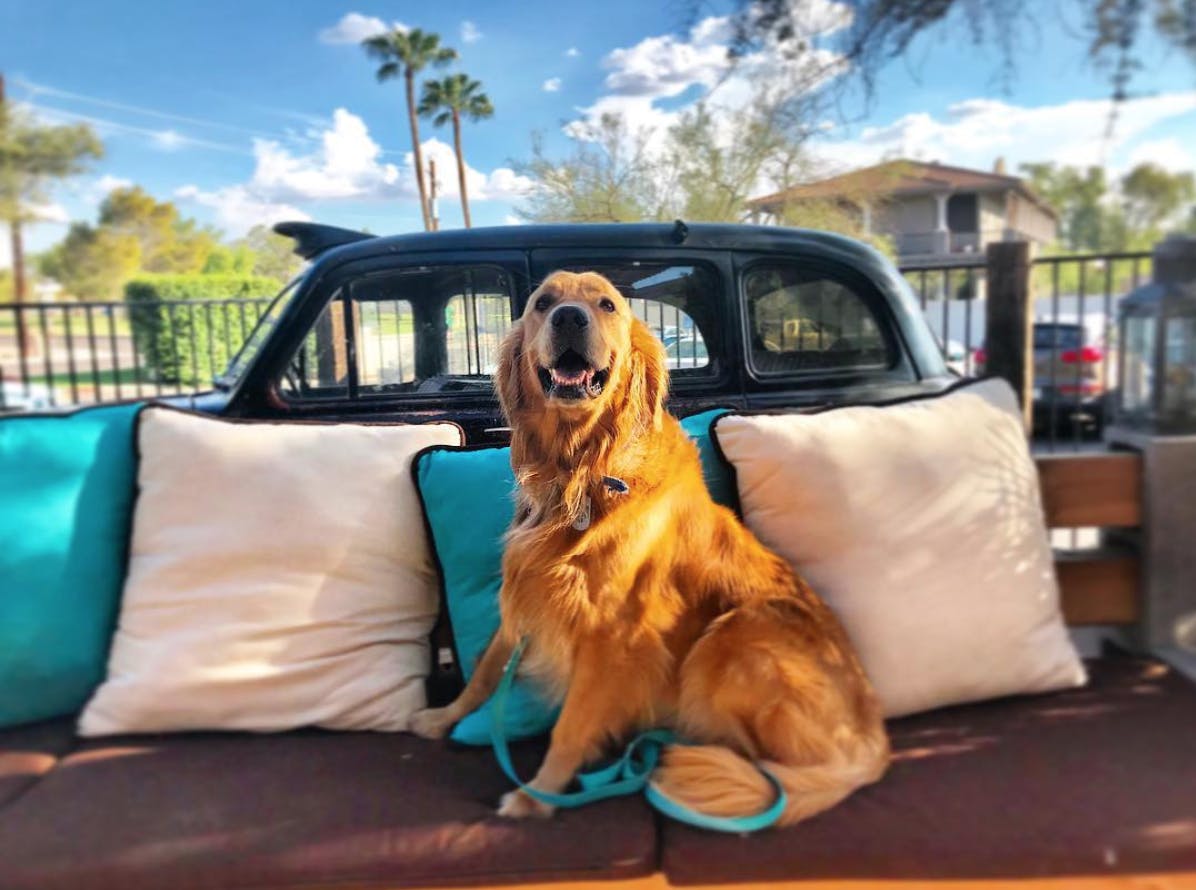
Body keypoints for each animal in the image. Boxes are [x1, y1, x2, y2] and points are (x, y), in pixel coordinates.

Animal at [411, 269, 889, 818]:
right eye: (543, 303)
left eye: (606, 305)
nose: (569, 318)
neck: (583, 469)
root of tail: (873, 740)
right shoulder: (526, 594)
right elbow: (486, 673)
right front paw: (444, 715)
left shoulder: (612, 635)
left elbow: (570, 727)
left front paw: (538, 796)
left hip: (728, 639)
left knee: (770, 773)